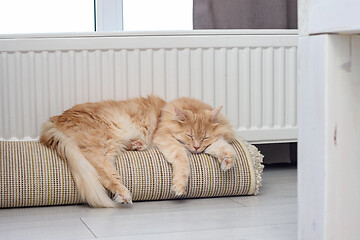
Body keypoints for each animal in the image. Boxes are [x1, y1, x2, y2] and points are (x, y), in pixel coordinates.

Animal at [40, 94, 236, 207]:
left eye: (204, 138)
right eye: (189, 135)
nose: (196, 147)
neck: (164, 114)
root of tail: (55, 118)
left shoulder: (213, 143)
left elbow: (224, 147)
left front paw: (227, 162)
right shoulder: (164, 138)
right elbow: (182, 160)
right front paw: (179, 187)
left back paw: (136, 144)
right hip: (105, 143)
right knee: (102, 173)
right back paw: (123, 194)